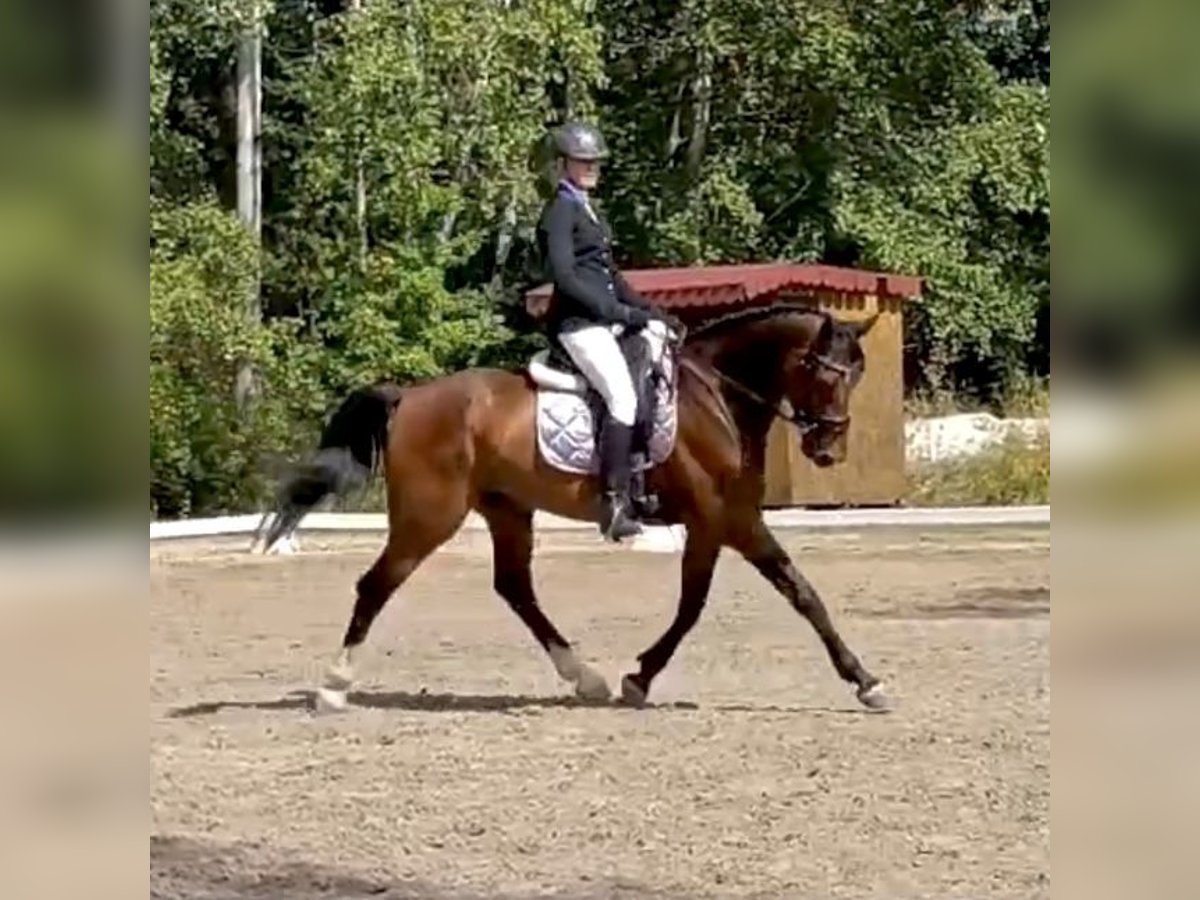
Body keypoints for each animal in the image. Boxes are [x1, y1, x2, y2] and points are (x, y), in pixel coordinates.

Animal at [255, 303, 892, 710]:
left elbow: (766, 596)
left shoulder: (721, 522)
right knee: (377, 584)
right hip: (429, 516)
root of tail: (408, 396)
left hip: (507, 509)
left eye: (856, 375)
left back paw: (583, 678)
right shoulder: (725, 519)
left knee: (515, 588)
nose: (829, 450)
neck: (718, 397)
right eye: (822, 372)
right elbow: (745, 601)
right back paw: (333, 686)